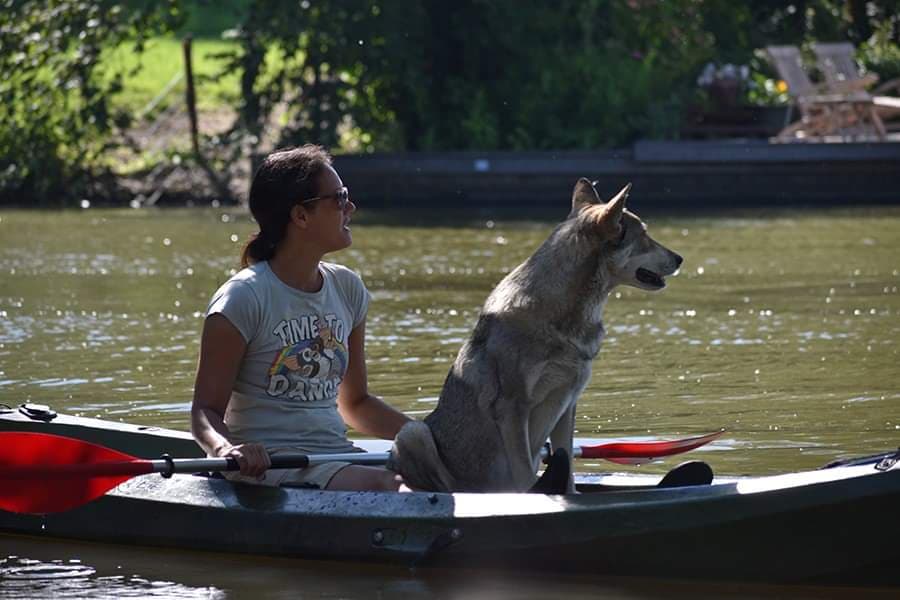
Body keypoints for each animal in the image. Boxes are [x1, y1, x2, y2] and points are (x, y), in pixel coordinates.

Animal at [388, 178, 684, 492]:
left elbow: (567, 466)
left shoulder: (568, 402)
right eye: (645, 235)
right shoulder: (513, 407)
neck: (568, 315)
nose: (680, 258)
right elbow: (523, 474)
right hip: (413, 432)